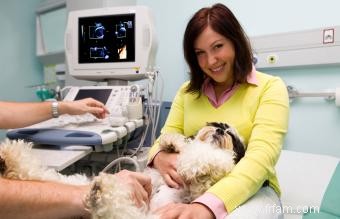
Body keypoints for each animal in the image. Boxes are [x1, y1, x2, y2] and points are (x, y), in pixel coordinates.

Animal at [0, 122, 246, 218]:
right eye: (215, 123)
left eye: (232, 136)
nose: (221, 129)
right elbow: (185, 147)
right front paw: (173, 144)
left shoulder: (199, 188)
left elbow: (214, 160)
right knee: (50, 178)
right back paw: (10, 159)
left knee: (114, 209)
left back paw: (101, 193)